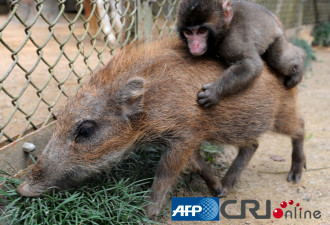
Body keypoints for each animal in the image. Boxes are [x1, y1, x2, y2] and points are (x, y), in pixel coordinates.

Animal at [177, 0, 306, 108]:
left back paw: (300, 59)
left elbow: (251, 65)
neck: (224, 30)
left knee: (278, 60)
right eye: (188, 32)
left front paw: (214, 91)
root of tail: (273, 17)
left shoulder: (232, 41)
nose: (195, 45)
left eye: (202, 31)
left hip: (277, 35)